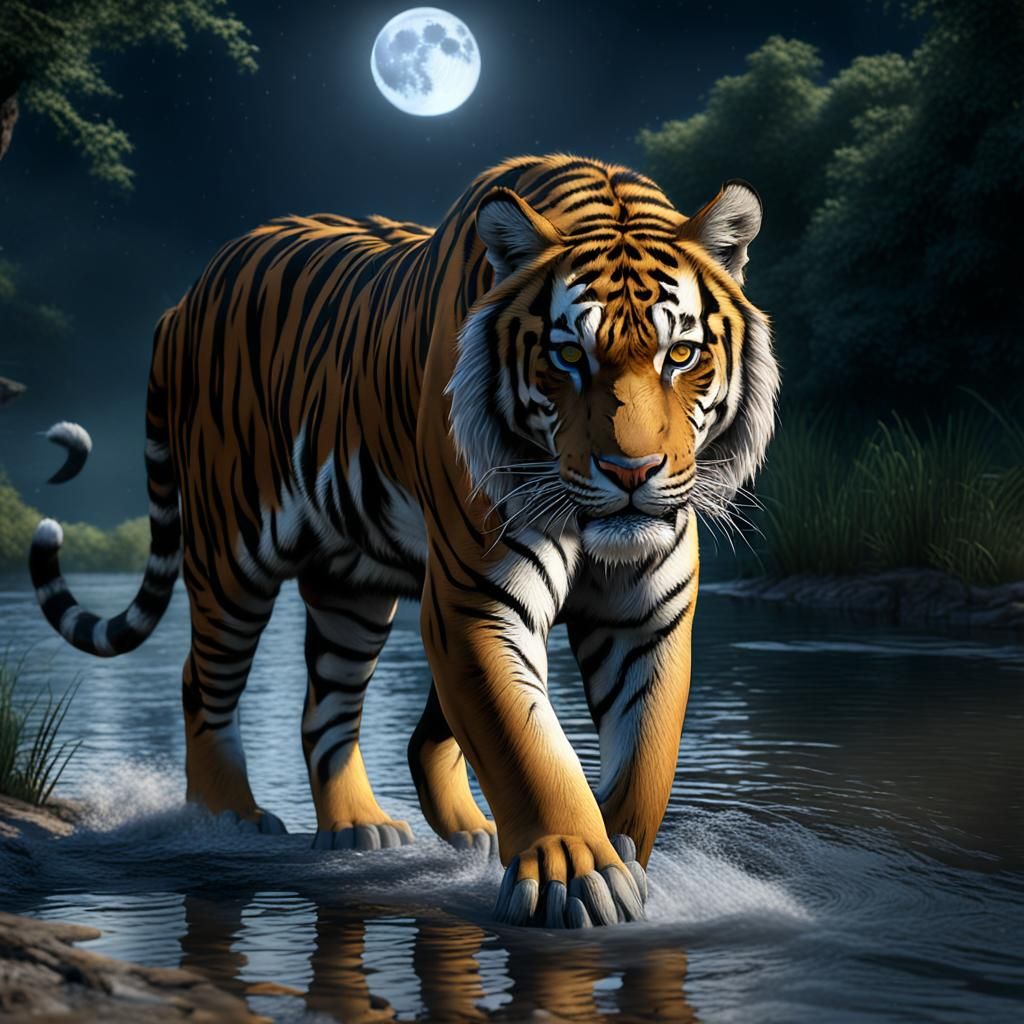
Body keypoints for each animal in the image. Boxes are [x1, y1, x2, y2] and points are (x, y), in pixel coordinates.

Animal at [30, 154, 778, 929]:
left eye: (680, 354)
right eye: (569, 355)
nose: (631, 472)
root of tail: (186, 298)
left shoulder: (646, 614)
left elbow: (645, 757)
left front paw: (620, 851)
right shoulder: (476, 597)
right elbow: (526, 747)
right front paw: (575, 873)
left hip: (351, 591)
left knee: (331, 710)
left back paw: (375, 826)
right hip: (231, 552)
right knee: (202, 681)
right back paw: (228, 817)